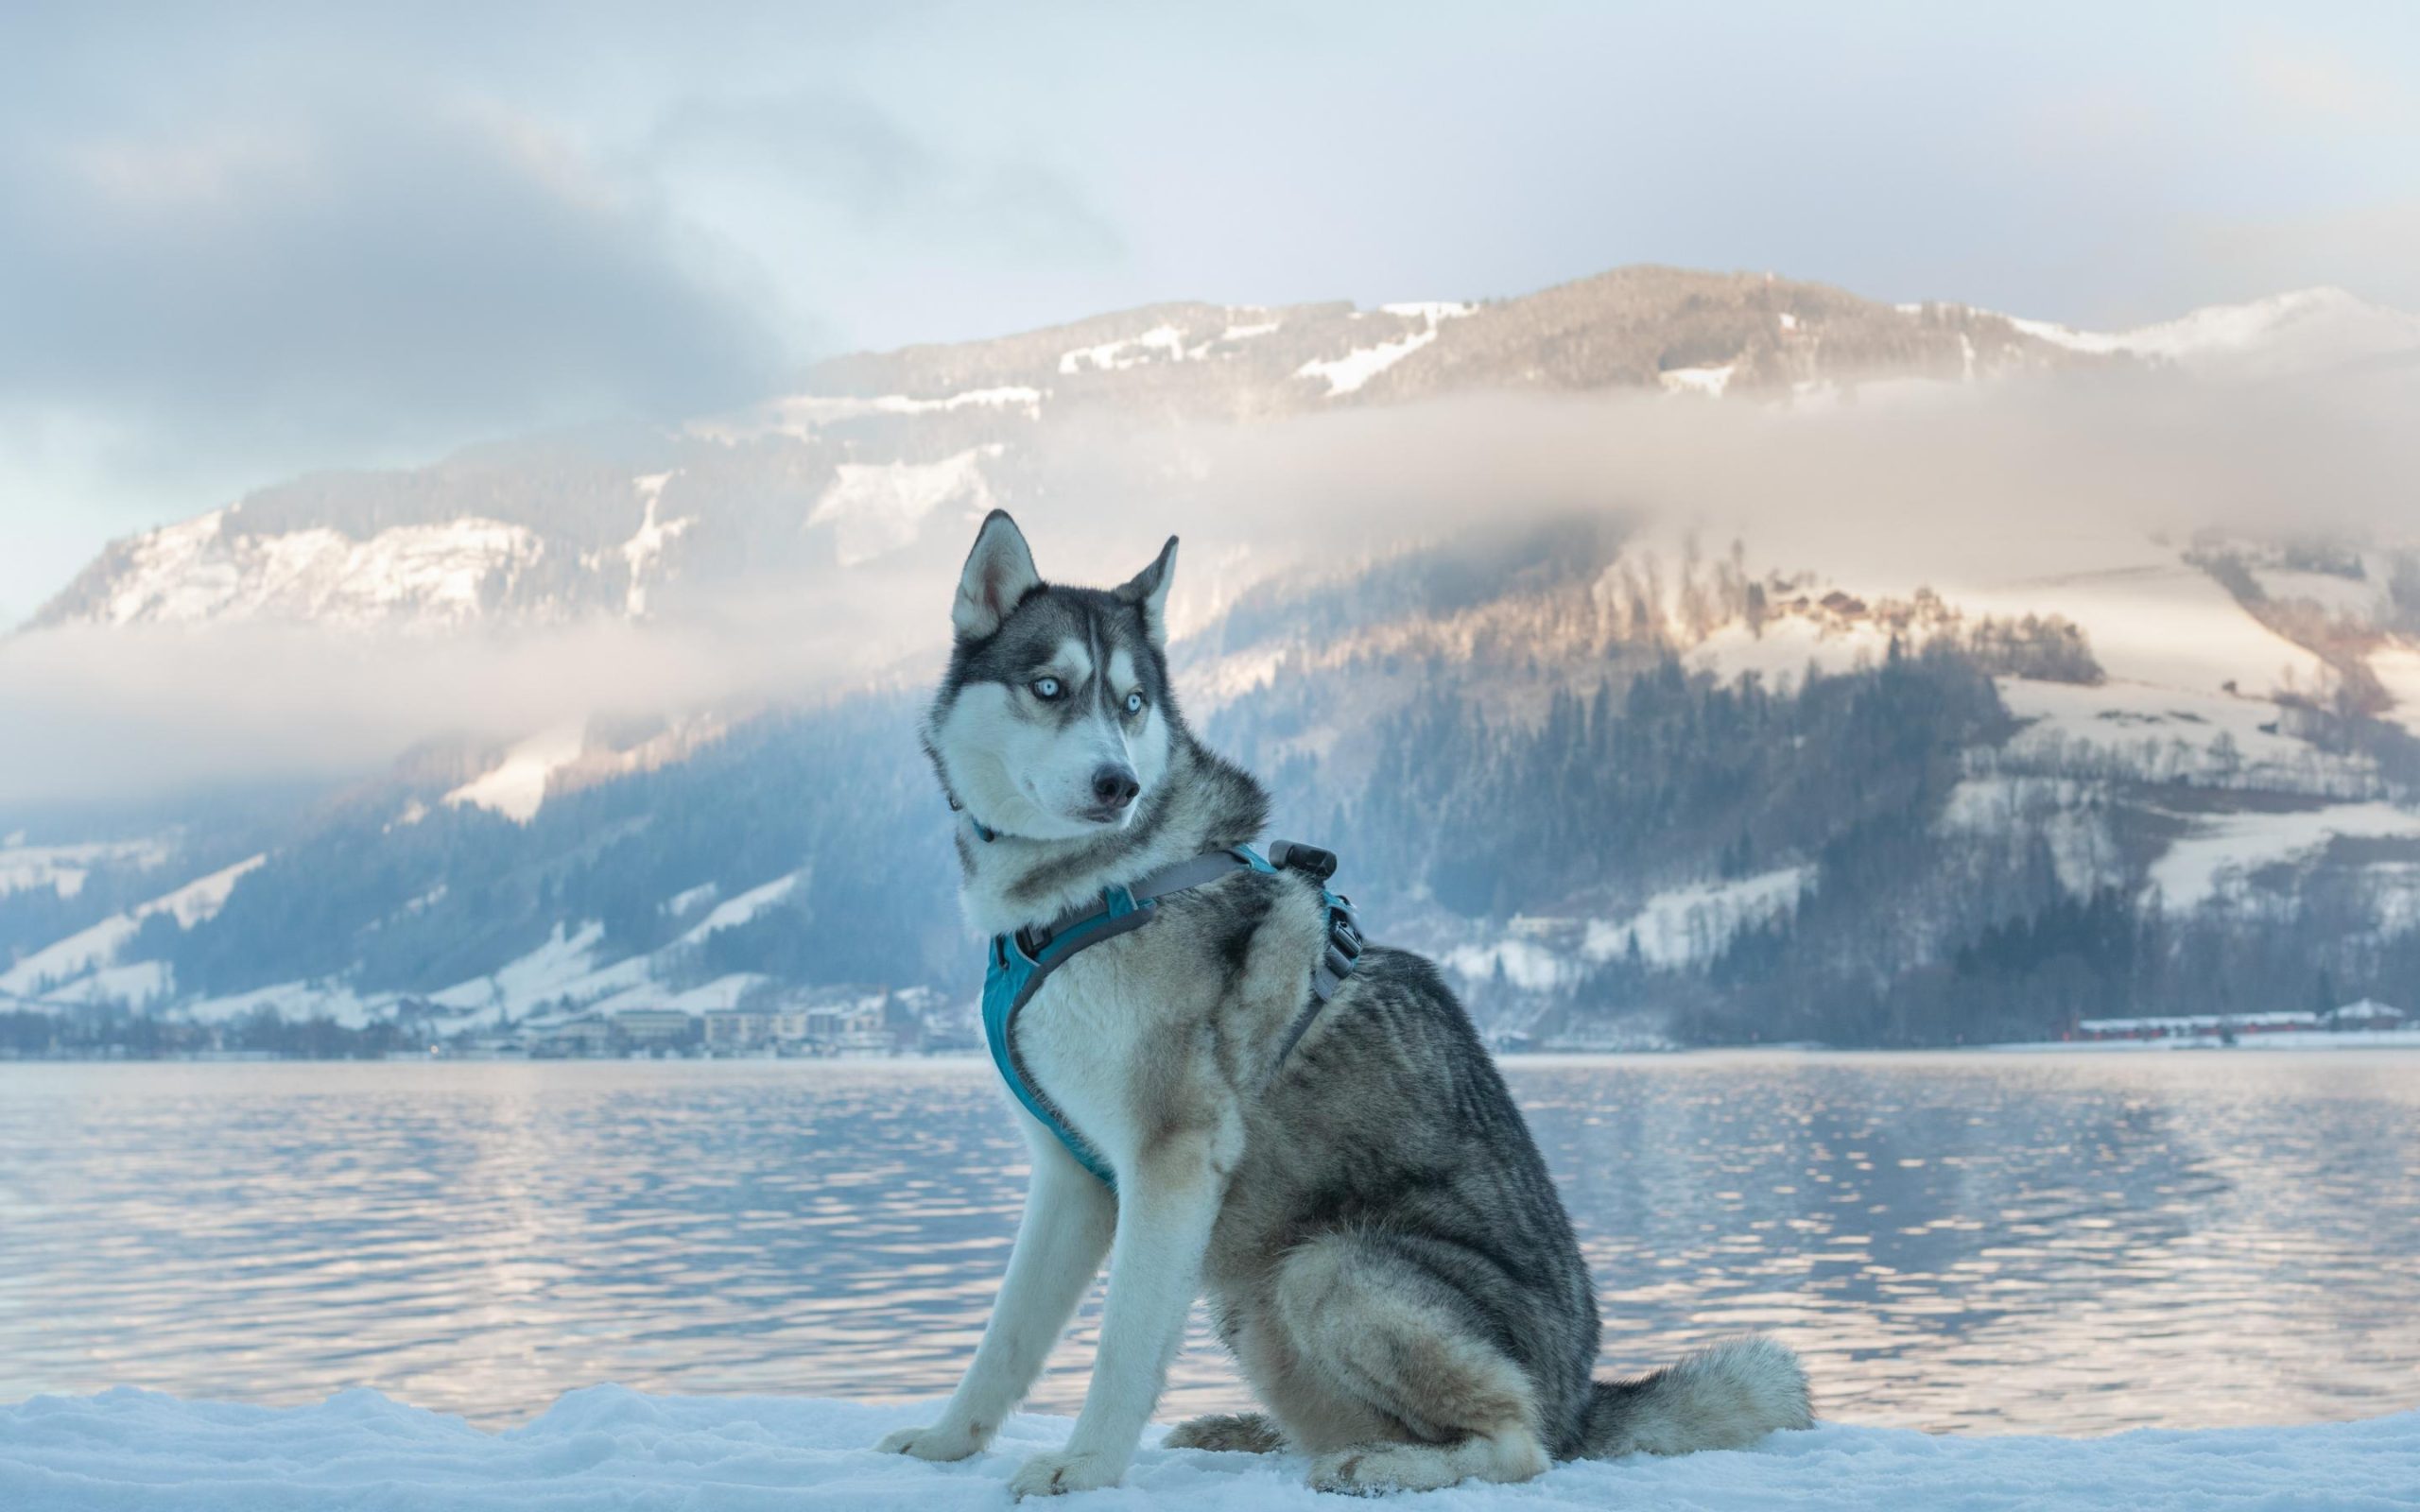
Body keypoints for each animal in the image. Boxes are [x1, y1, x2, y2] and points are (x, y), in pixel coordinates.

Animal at [880, 512, 1809, 1489]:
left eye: (1132, 704)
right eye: (1050, 687)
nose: (1118, 784)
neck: (1094, 891)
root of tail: (1585, 1397)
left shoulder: (1170, 1158)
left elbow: (1123, 1344)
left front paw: (1086, 1467)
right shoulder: (1071, 1177)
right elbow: (1006, 1339)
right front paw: (946, 1443)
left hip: (1324, 1269)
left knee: (1519, 1445)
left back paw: (1386, 1465)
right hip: (1251, 1304)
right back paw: (1257, 1434)